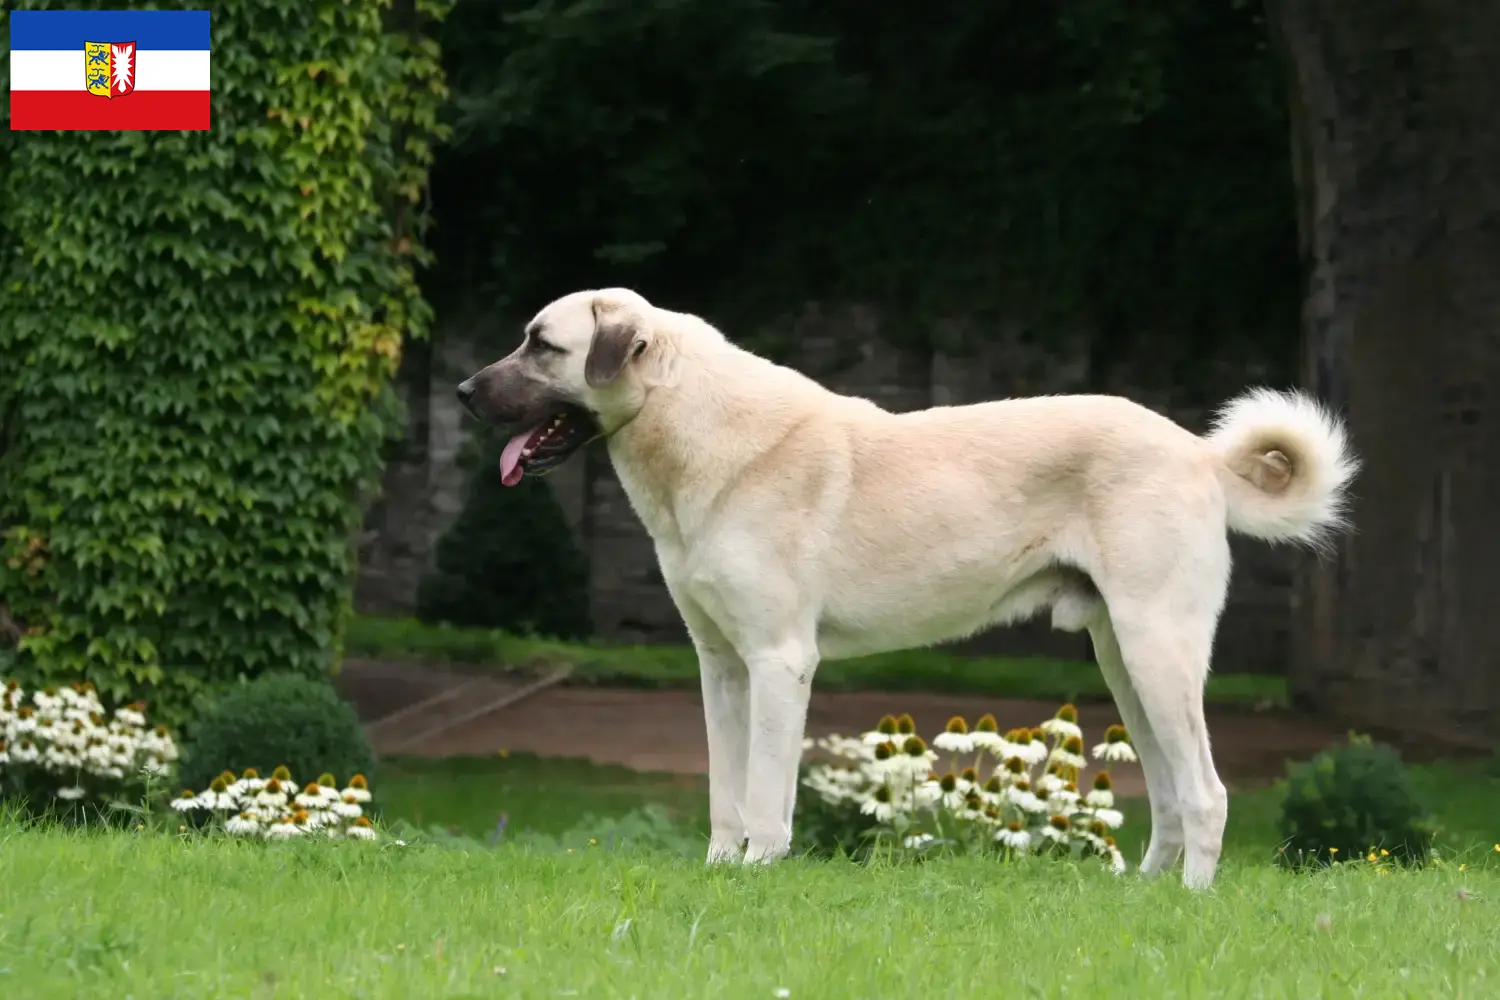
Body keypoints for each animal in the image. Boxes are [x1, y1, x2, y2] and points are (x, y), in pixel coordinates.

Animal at [456, 289, 1362, 893]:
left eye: (542, 345)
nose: (463, 393)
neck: (694, 429)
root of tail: (1197, 452)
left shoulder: (780, 661)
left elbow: (765, 792)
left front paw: (759, 873)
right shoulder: (720, 666)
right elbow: (724, 790)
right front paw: (720, 869)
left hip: (1157, 651)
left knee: (1205, 792)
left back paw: (1191, 901)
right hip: (1124, 662)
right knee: (1171, 792)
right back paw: (1144, 894)